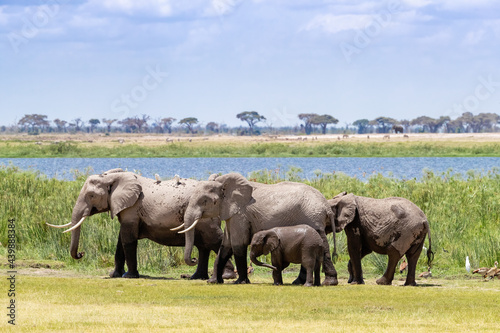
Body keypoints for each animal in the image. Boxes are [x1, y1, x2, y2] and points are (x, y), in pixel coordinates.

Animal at [47, 167, 234, 278]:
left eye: (91, 195)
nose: (81, 254)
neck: (114, 177)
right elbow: (120, 241)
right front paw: (114, 275)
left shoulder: (132, 208)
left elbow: (127, 240)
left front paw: (129, 276)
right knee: (203, 246)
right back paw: (198, 277)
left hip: (206, 219)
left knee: (213, 240)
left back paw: (226, 276)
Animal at [177, 172, 340, 284]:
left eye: (204, 201)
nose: (193, 259)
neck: (225, 184)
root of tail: (326, 206)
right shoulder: (232, 214)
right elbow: (226, 246)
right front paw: (213, 282)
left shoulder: (240, 214)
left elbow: (238, 244)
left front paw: (240, 282)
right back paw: (299, 283)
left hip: (312, 217)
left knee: (323, 245)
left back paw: (329, 283)